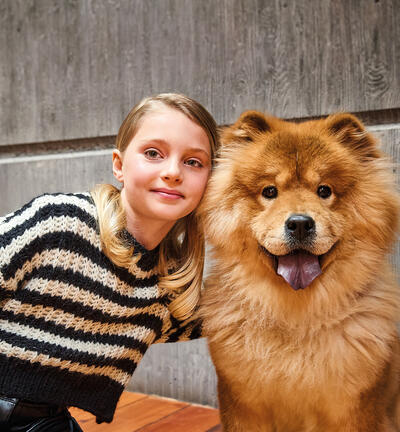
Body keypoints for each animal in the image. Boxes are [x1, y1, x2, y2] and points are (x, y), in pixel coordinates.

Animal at [200, 112, 400, 432]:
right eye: (269, 191)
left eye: (324, 191)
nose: (300, 223)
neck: (298, 317)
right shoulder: (244, 405)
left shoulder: (357, 408)